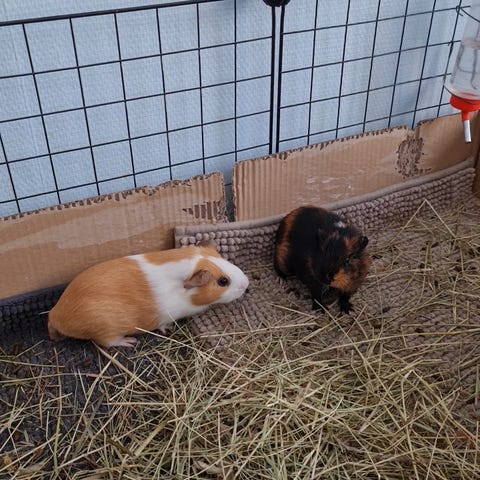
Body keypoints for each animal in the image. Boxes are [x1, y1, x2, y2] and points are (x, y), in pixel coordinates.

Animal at [47, 240, 249, 347]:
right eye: (223, 281)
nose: (246, 284)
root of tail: (55, 314)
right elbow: (162, 325)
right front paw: (168, 329)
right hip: (107, 330)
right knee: (107, 342)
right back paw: (129, 342)